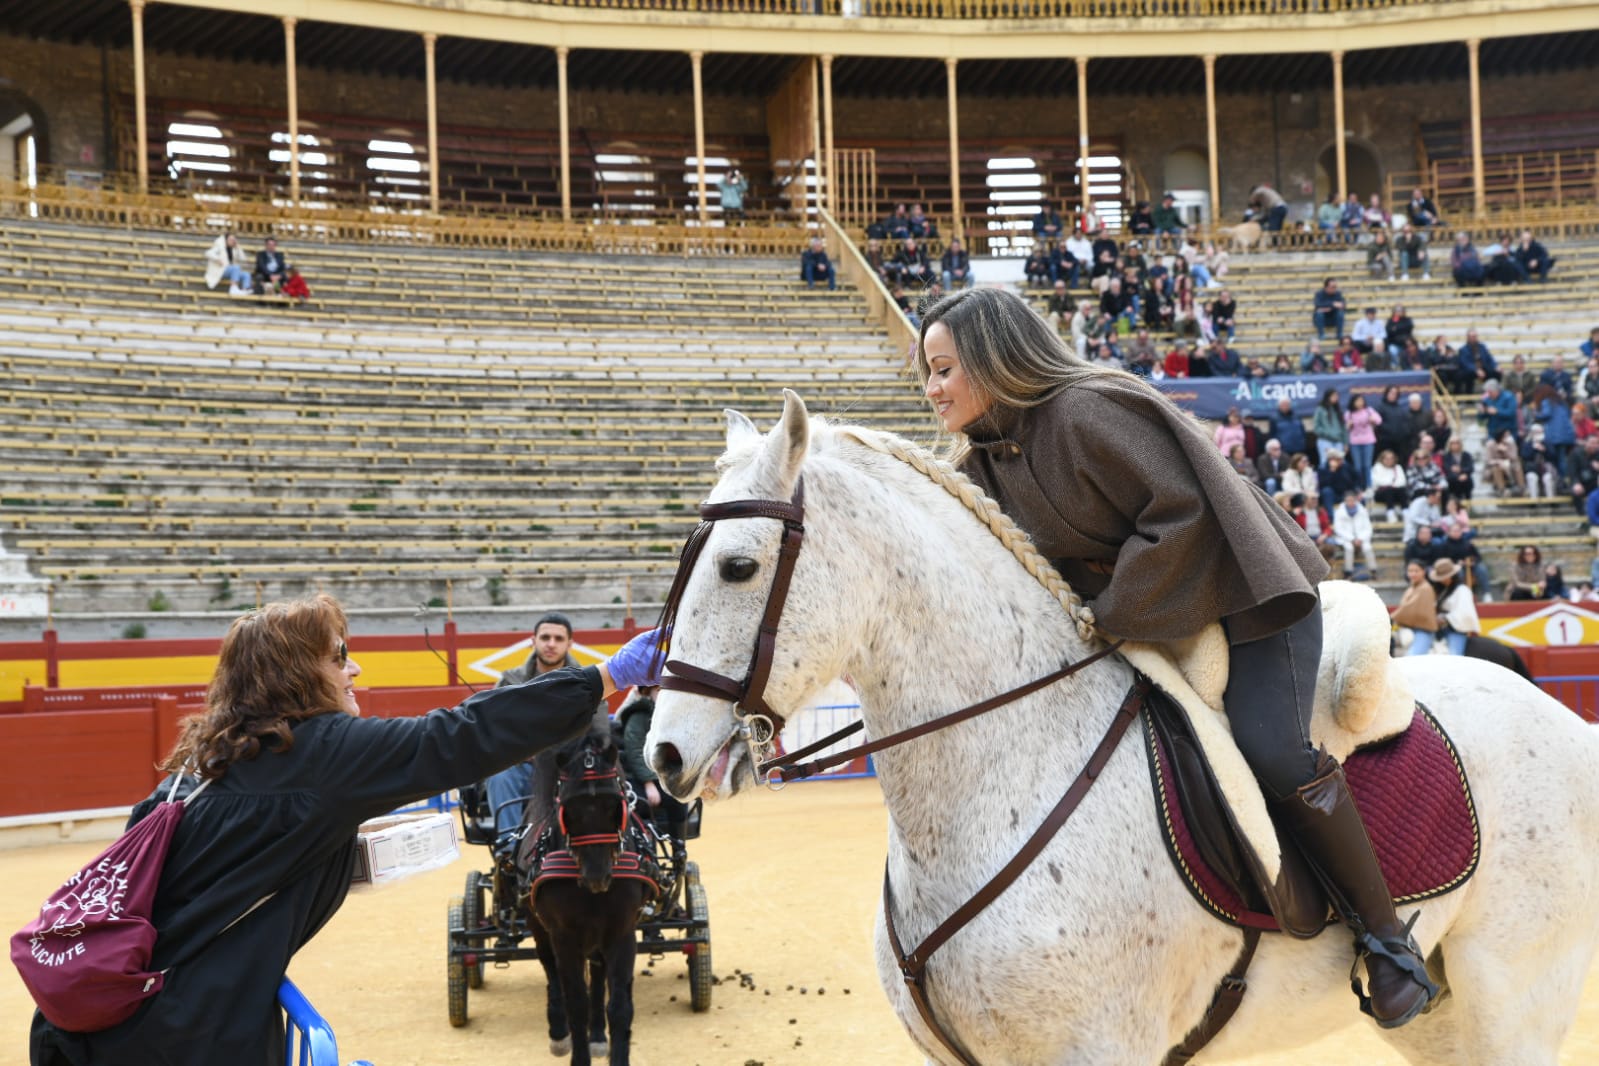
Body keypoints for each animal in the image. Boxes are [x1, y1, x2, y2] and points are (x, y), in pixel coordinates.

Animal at [524, 735, 649, 1066]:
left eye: (614, 805)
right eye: (569, 810)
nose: (597, 876)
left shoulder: (621, 932)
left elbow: (619, 1007)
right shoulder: (563, 936)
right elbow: (575, 1003)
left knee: (597, 974)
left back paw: (597, 1037)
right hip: (539, 929)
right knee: (551, 972)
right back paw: (558, 1032)